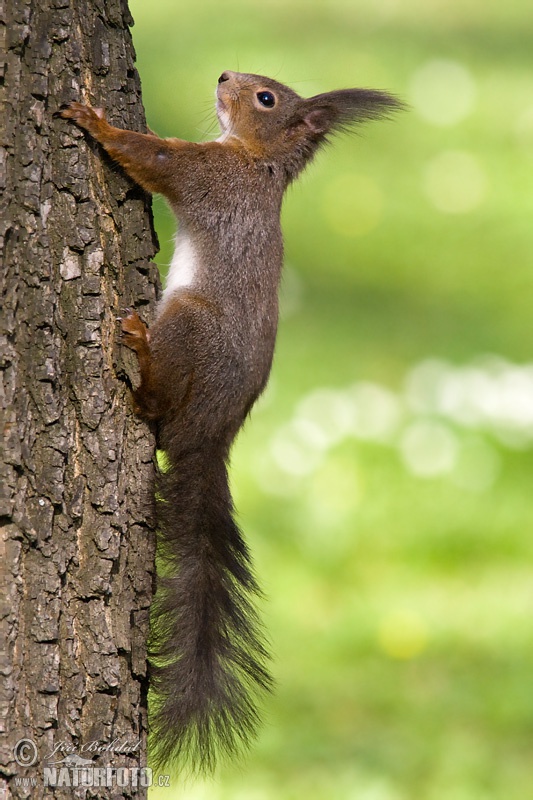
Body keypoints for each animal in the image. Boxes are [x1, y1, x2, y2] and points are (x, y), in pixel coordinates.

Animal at [60, 72, 402, 772]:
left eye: (266, 98)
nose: (225, 77)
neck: (256, 161)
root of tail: (213, 435)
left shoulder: (211, 175)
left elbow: (155, 159)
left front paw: (97, 123)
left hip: (189, 325)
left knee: (158, 407)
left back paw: (140, 355)